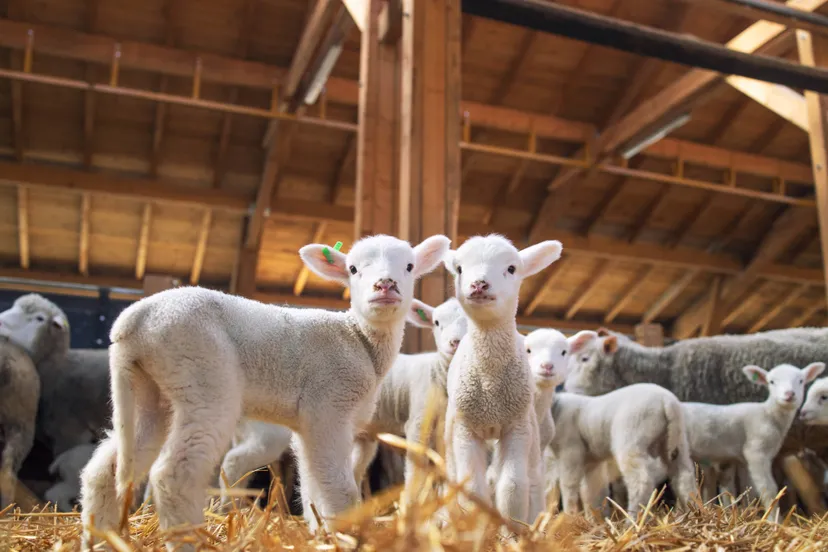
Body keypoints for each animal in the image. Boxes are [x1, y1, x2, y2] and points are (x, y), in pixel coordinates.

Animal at [78, 234, 450, 550]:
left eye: (409, 266)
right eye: (353, 269)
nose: (385, 285)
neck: (358, 338)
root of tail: (133, 321)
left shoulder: (310, 424)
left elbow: (313, 483)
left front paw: (319, 531)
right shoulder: (328, 406)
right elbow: (339, 486)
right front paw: (345, 535)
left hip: (149, 391)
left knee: (104, 469)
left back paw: (99, 539)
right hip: (203, 376)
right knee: (174, 473)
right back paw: (191, 540)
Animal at [351, 297, 468, 499]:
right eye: (437, 322)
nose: (455, 342)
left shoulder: (444, 427)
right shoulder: (417, 422)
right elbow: (415, 472)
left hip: (363, 435)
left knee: (354, 471)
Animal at [442, 234, 562, 526]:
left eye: (511, 268)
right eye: (459, 269)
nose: (479, 284)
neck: (490, 384)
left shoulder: (515, 427)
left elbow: (512, 487)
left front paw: (513, 531)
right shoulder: (465, 429)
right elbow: (473, 489)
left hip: (530, 428)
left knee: (533, 479)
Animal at [549, 384, 698, 518]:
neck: (556, 410)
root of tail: (667, 401)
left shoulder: (570, 450)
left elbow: (569, 485)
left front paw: (570, 516)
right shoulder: (591, 461)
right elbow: (591, 491)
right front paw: (594, 520)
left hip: (631, 438)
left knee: (641, 481)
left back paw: (632, 520)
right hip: (676, 440)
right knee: (684, 476)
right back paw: (693, 511)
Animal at [681, 362, 824, 519]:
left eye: (801, 381)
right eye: (771, 382)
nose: (789, 394)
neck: (768, 414)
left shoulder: (743, 461)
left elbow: (748, 489)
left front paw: (748, 514)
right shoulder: (756, 452)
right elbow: (769, 489)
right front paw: (774, 519)